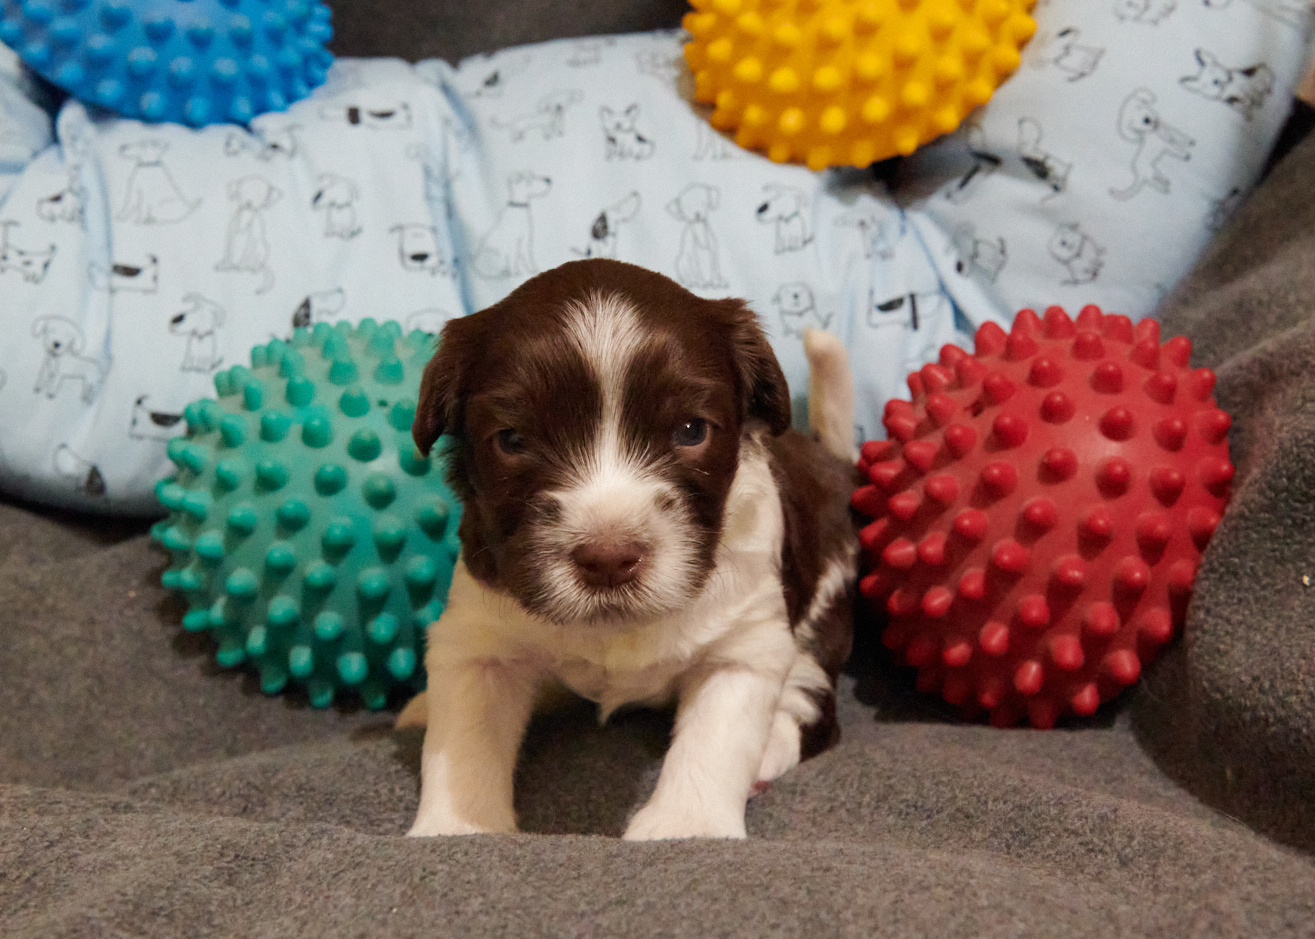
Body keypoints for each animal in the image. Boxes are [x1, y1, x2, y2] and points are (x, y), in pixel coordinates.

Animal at [399, 257, 857, 841]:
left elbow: (715, 740)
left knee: (810, 701)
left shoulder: (745, 643)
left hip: (824, 613)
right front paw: (459, 827)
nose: (608, 558)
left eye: (690, 430)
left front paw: (686, 825)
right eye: (513, 440)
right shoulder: (479, 638)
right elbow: (464, 739)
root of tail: (830, 460)